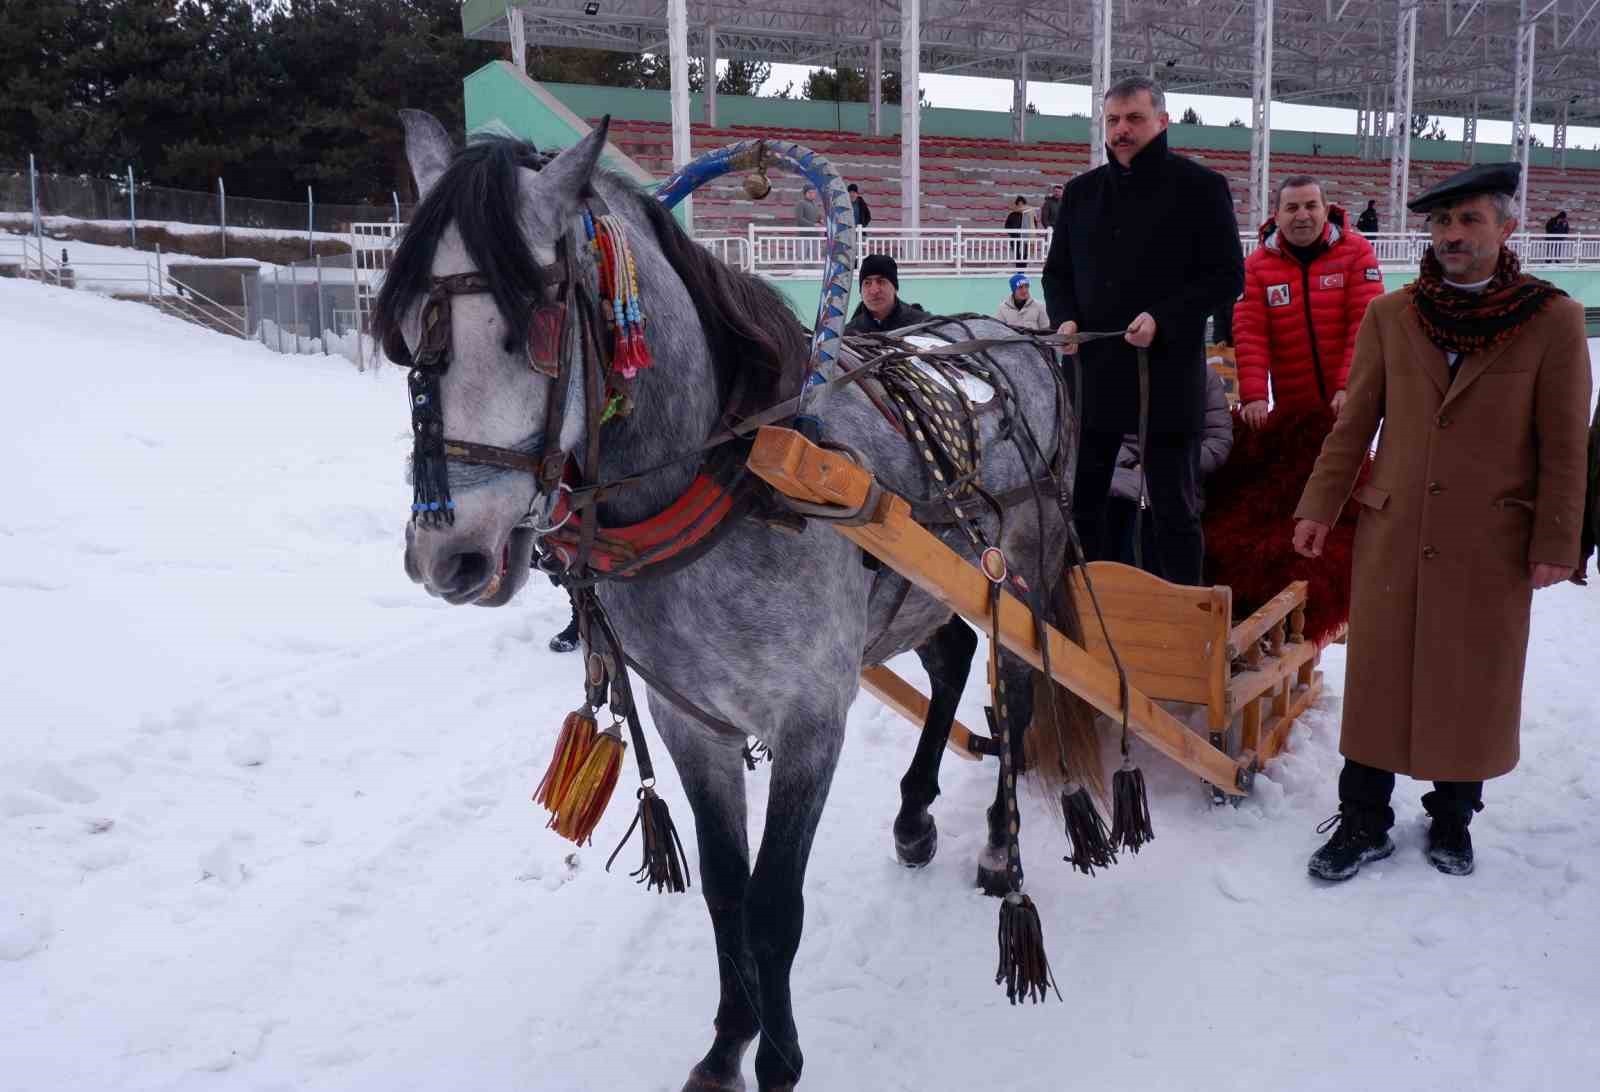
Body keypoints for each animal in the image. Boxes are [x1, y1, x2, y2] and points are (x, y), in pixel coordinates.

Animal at [374, 112, 1100, 1088]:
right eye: (406, 333)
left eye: (535, 325)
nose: (447, 555)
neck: (738, 474)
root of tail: (1014, 334)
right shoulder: (693, 721)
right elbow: (724, 892)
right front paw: (727, 1043)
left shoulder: (810, 718)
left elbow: (772, 905)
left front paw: (779, 1058)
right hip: (922, 586)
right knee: (950, 667)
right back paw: (914, 814)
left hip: (1020, 572)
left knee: (1015, 696)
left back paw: (998, 844)